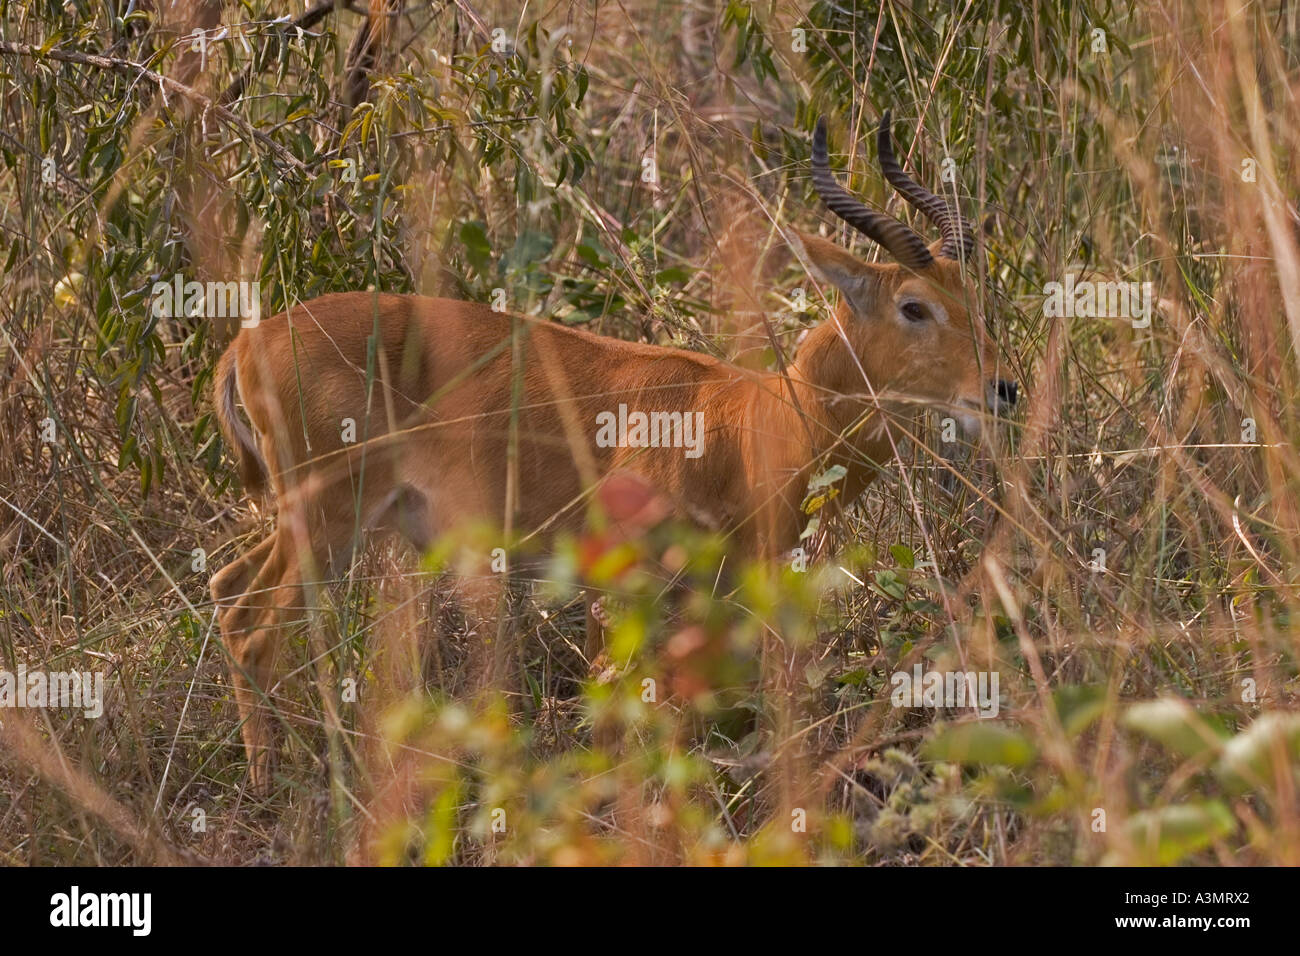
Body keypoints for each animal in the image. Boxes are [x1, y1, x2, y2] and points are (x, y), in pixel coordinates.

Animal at [210, 110, 1013, 790]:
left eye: (970, 296)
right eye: (914, 305)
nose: (1000, 388)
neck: (751, 419)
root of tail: (247, 344)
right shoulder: (619, 586)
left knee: (225, 587)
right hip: (327, 515)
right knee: (252, 629)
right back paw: (274, 786)